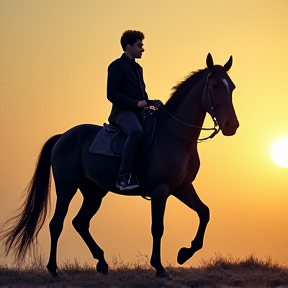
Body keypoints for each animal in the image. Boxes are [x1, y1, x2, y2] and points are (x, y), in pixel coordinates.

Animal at [1, 53, 238, 276]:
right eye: (215, 86)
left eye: (232, 87)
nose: (231, 125)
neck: (174, 134)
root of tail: (63, 137)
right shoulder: (160, 190)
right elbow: (157, 228)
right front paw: (159, 268)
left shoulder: (182, 187)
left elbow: (204, 212)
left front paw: (184, 254)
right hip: (67, 187)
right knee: (57, 223)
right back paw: (53, 269)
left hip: (94, 192)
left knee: (80, 222)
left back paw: (102, 262)